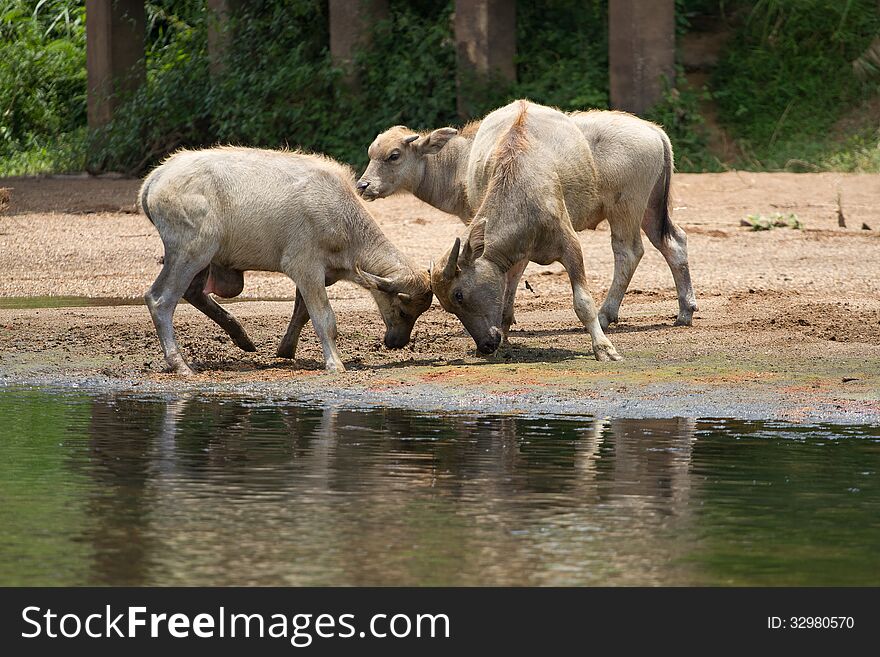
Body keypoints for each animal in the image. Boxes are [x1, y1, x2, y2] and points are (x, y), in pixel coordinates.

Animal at [138, 148, 436, 374]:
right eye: (402, 311)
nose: (397, 342)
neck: (342, 218)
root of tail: (156, 177)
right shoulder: (304, 266)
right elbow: (324, 317)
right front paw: (335, 363)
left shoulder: (321, 274)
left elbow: (302, 312)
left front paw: (285, 350)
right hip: (191, 251)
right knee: (160, 299)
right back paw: (180, 364)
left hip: (204, 259)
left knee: (193, 293)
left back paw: (242, 338)